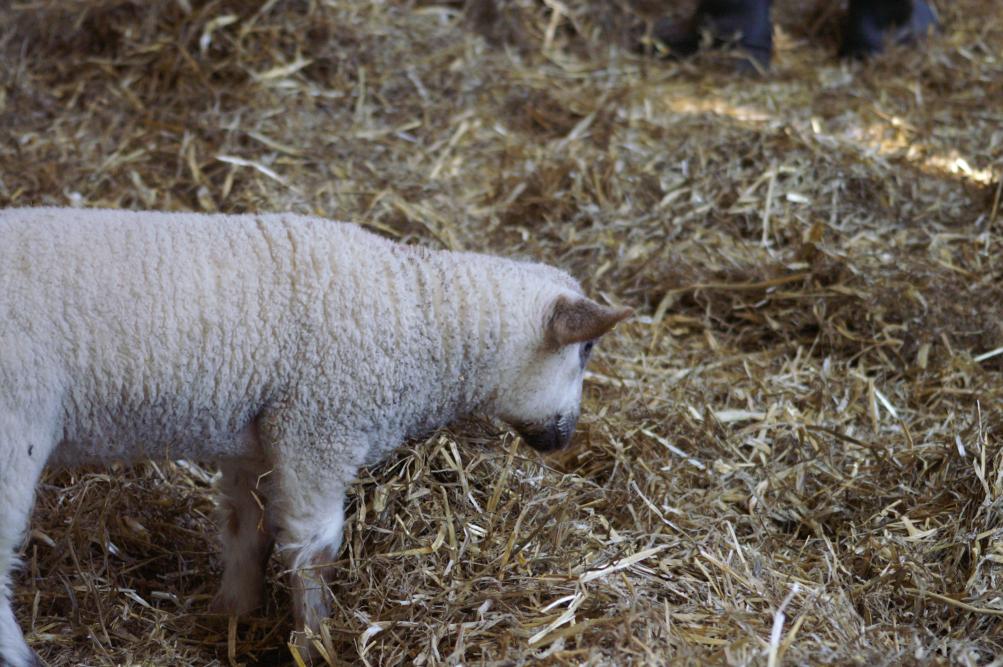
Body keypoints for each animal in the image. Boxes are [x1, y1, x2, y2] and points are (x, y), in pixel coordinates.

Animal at [0, 207, 632, 666]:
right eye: (586, 350)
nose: (564, 440)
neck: (424, 322)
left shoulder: (255, 440)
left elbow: (244, 531)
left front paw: (234, 613)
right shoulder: (319, 430)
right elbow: (313, 550)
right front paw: (316, 639)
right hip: (14, 430)